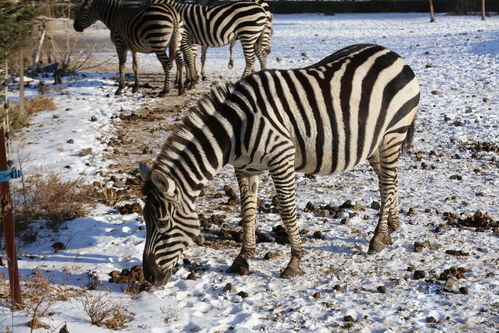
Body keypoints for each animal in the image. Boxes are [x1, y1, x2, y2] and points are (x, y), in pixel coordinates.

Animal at [141, 42, 422, 284]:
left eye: (163, 225)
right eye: (146, 221)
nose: (150, 277)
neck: (235, 130)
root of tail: (392, 54)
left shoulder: (281, 158)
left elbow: (286, 210)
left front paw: (294, 262)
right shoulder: (245, 168)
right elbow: (247, 210)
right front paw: (242, 258)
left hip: (393, 133)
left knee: (386, 183)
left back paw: (378, 238)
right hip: (373, 143)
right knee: (389, 179)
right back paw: (392, 225)